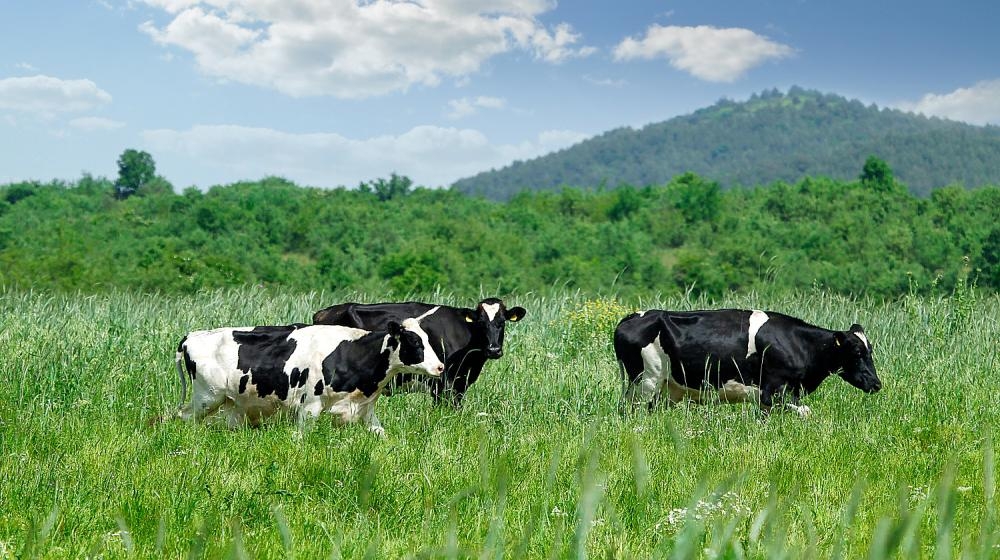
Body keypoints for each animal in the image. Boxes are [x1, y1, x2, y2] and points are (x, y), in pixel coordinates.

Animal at [176, 312, 446, 436]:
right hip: (207, 397)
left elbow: (382, 435)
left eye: (428, 339)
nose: (440, 366)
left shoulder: (365, 410)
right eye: (414, 341)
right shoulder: (309, 407)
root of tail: (192, 335)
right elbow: (301, 437)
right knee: (183, 417)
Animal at [312, 298, 528, 406]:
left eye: (502, 322)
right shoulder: (443, 384)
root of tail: (323, 312)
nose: (494, 349)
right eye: (481, 322)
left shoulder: (460, 384)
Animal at [608, 308, 884, 418]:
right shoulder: (773, 391)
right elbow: (805, 412)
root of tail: (630, 317)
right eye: (857, 352)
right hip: (646, 380)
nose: (876, 384)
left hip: (664, 387)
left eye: (870, 350)